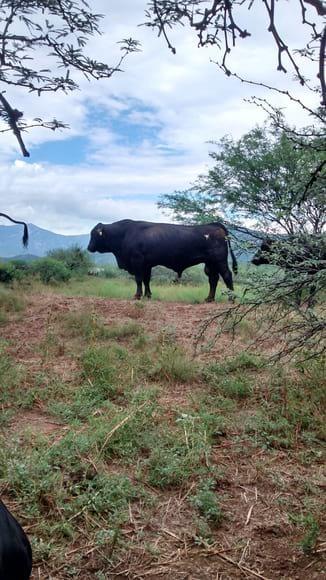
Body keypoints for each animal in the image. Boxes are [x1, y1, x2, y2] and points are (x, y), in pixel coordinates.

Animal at [88, 218, 238, 300]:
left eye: (94, 234)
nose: (89, 248)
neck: (124, 234)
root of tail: (215, 225)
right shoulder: (146, 265)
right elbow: (146, 280)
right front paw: (148, 295)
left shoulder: (137, 261)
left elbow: (138, 279)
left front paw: (137, 295)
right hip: (210, 263)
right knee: (213, 279)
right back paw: (209, 298)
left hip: (219, 260)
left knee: (227, 275)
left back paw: (231, 299)